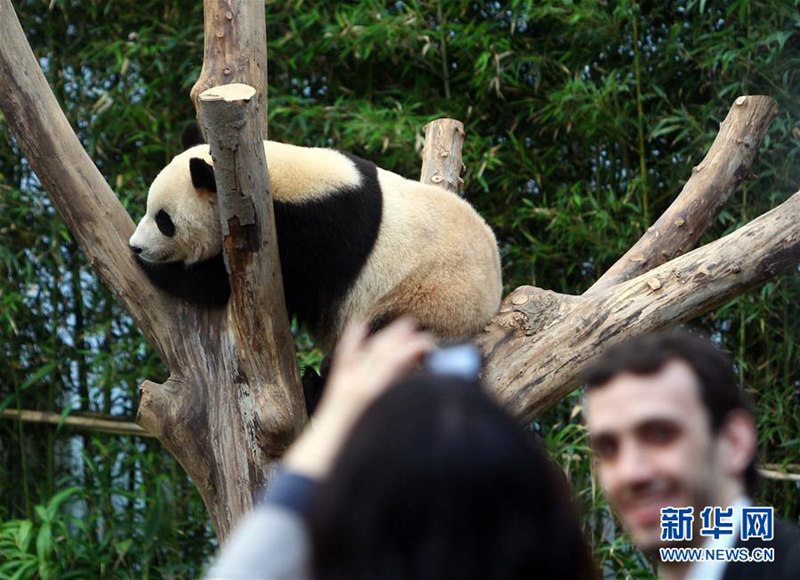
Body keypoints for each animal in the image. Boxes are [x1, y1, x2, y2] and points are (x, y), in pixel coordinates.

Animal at [133, 129, 500, 404]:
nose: (136, 245)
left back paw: (314, 389)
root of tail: (492, 303)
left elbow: (219, 285)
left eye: (164, 221)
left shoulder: (312, 236)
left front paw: (156, 269)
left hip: (430, 302)